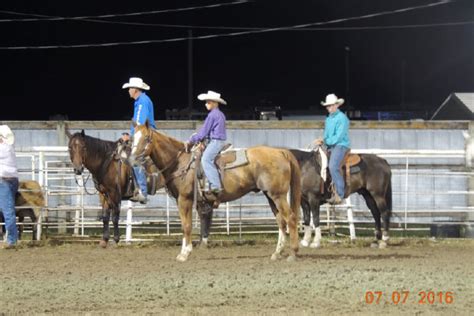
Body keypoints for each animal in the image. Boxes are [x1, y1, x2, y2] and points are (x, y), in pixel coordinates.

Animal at [128, 121, 302, 262]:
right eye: (133, 138)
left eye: (146, 138)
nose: (132, 158)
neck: (180, 162)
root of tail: (281, 152)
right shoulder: (184, 201)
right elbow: (185, 225)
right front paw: (183, 252)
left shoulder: (185, 199)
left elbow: (186, 226)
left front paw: (185, 253)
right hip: (270, 196)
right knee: (281, 221)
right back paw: (277, 253)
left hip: (278, 196)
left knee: (291, 218)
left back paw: (293, 253)